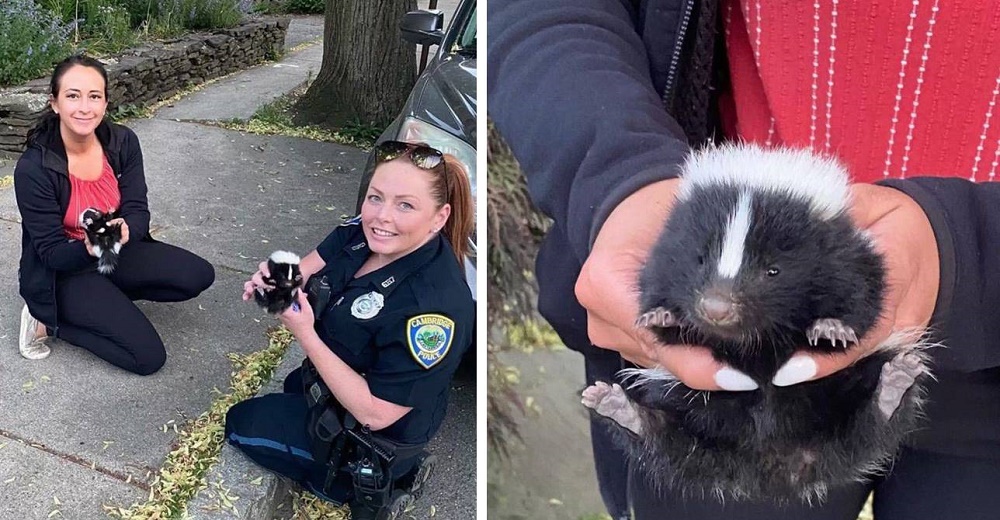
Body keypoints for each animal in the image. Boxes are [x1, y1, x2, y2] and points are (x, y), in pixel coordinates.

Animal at [584, 142, 932, 504]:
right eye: (699, 259)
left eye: (773, 270)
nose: (716, 307)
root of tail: (769, 468)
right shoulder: (661, 258)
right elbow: (654, 288)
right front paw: (662, 315)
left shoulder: (851, 257)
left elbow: (864, 295)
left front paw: (831, 328)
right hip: (691, 414)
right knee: (665, 441)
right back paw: (619, 409)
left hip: (841, 403)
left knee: (871, 423)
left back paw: (895, 385)